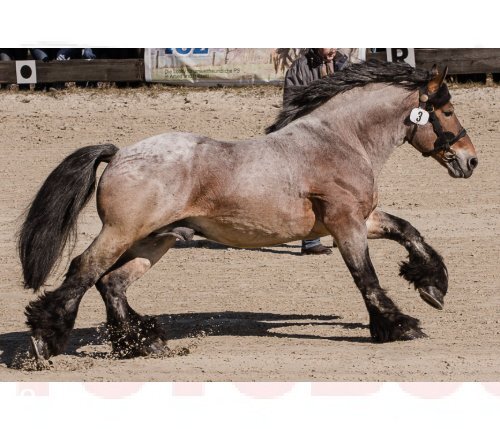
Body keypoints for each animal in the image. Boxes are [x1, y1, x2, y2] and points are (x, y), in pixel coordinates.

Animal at [18, 60, 476, 360]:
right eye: (448, 111)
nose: (470, 160)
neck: (340, 140)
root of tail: (119, 153)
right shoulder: (346, 224)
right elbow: (366, 277)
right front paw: (399, 325)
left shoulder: (360, 219)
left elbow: (409, 230)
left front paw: (432, 285)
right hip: (121, 232)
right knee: (84, 270)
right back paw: (45, 340)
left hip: (155, 239)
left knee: (111, 283)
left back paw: (143, 342)